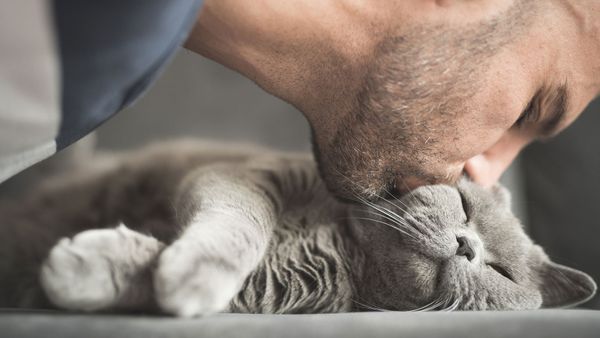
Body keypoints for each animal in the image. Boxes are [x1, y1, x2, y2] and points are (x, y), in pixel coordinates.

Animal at [0, 139, 592, 314]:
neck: (343, 246)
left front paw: (87, 269)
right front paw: (195, 271)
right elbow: (241, 225)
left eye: (501, 271)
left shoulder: (269, 291)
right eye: (464, 205)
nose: (467, 246)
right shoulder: (244, 175)